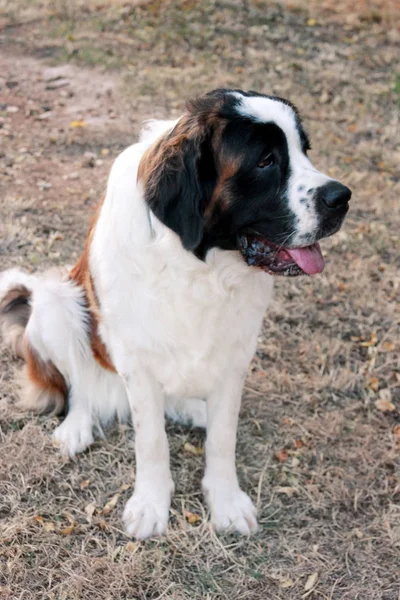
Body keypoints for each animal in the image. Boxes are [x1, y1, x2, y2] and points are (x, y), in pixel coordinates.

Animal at [0, 89, 350, 540]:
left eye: (304, 150)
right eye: (266, 161)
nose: (343, 197)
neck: (198, 265)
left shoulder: (234, 356)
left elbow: (223, 437)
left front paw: (225, 501)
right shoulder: (136, 363)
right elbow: (151, 440)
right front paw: (150, 505)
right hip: (56, 302)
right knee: (79, 386)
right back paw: (76, 426)